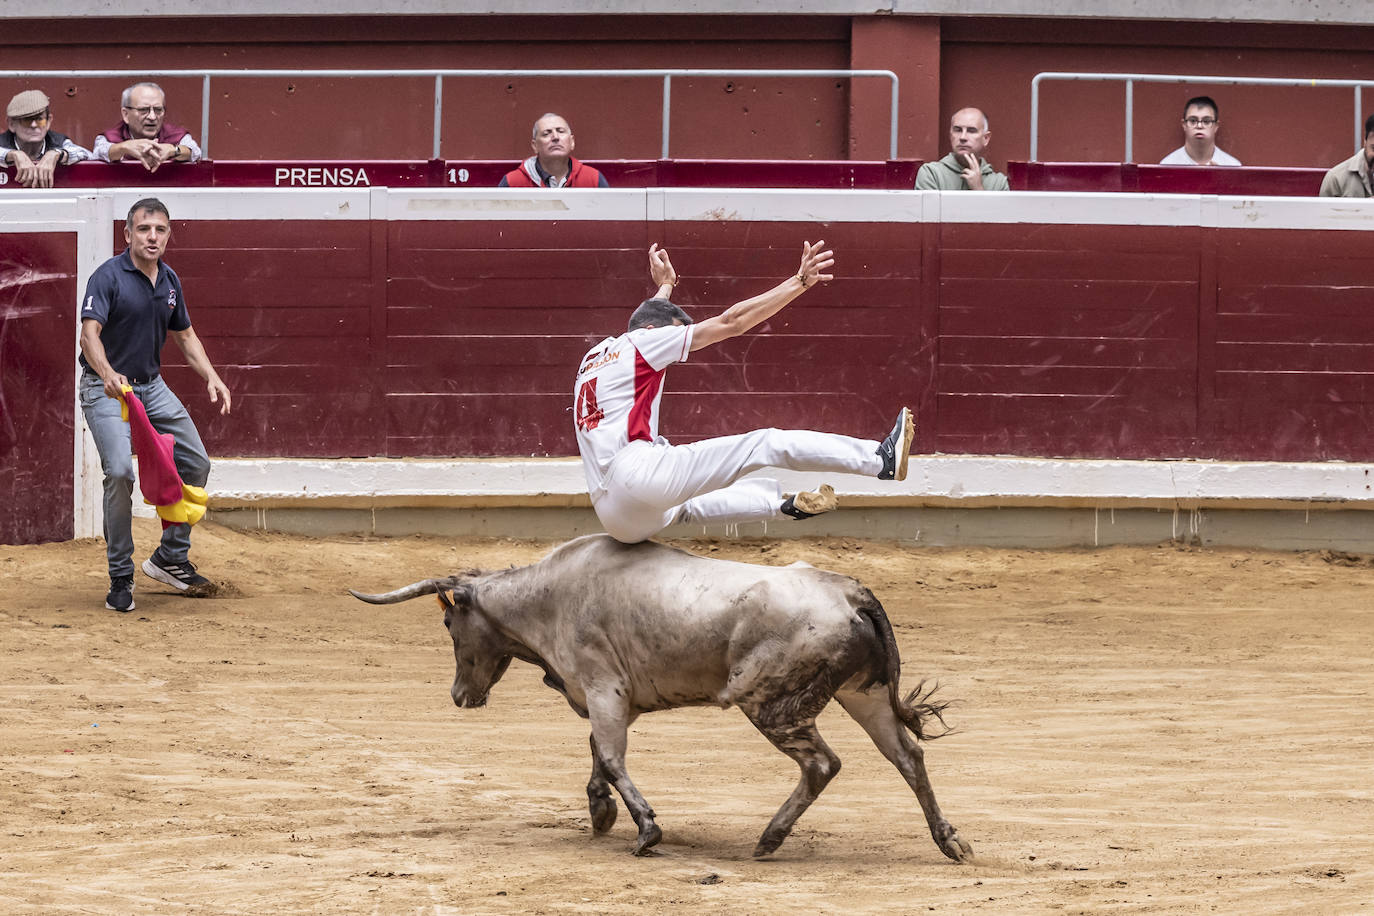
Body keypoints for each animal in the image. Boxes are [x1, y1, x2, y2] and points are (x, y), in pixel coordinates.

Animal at [354, 532, 978, 862]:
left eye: (448, 626)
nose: (459, 696)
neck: (548, 595)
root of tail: (851, 591)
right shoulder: (616, 700)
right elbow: (597, 751)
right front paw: (601, 812)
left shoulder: (602, 687)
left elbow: (609, 755)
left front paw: (645, 832)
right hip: (863, 694)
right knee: (907, 756)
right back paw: (951, 842)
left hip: (769, 704)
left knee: (823, 763)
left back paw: (769, 839)